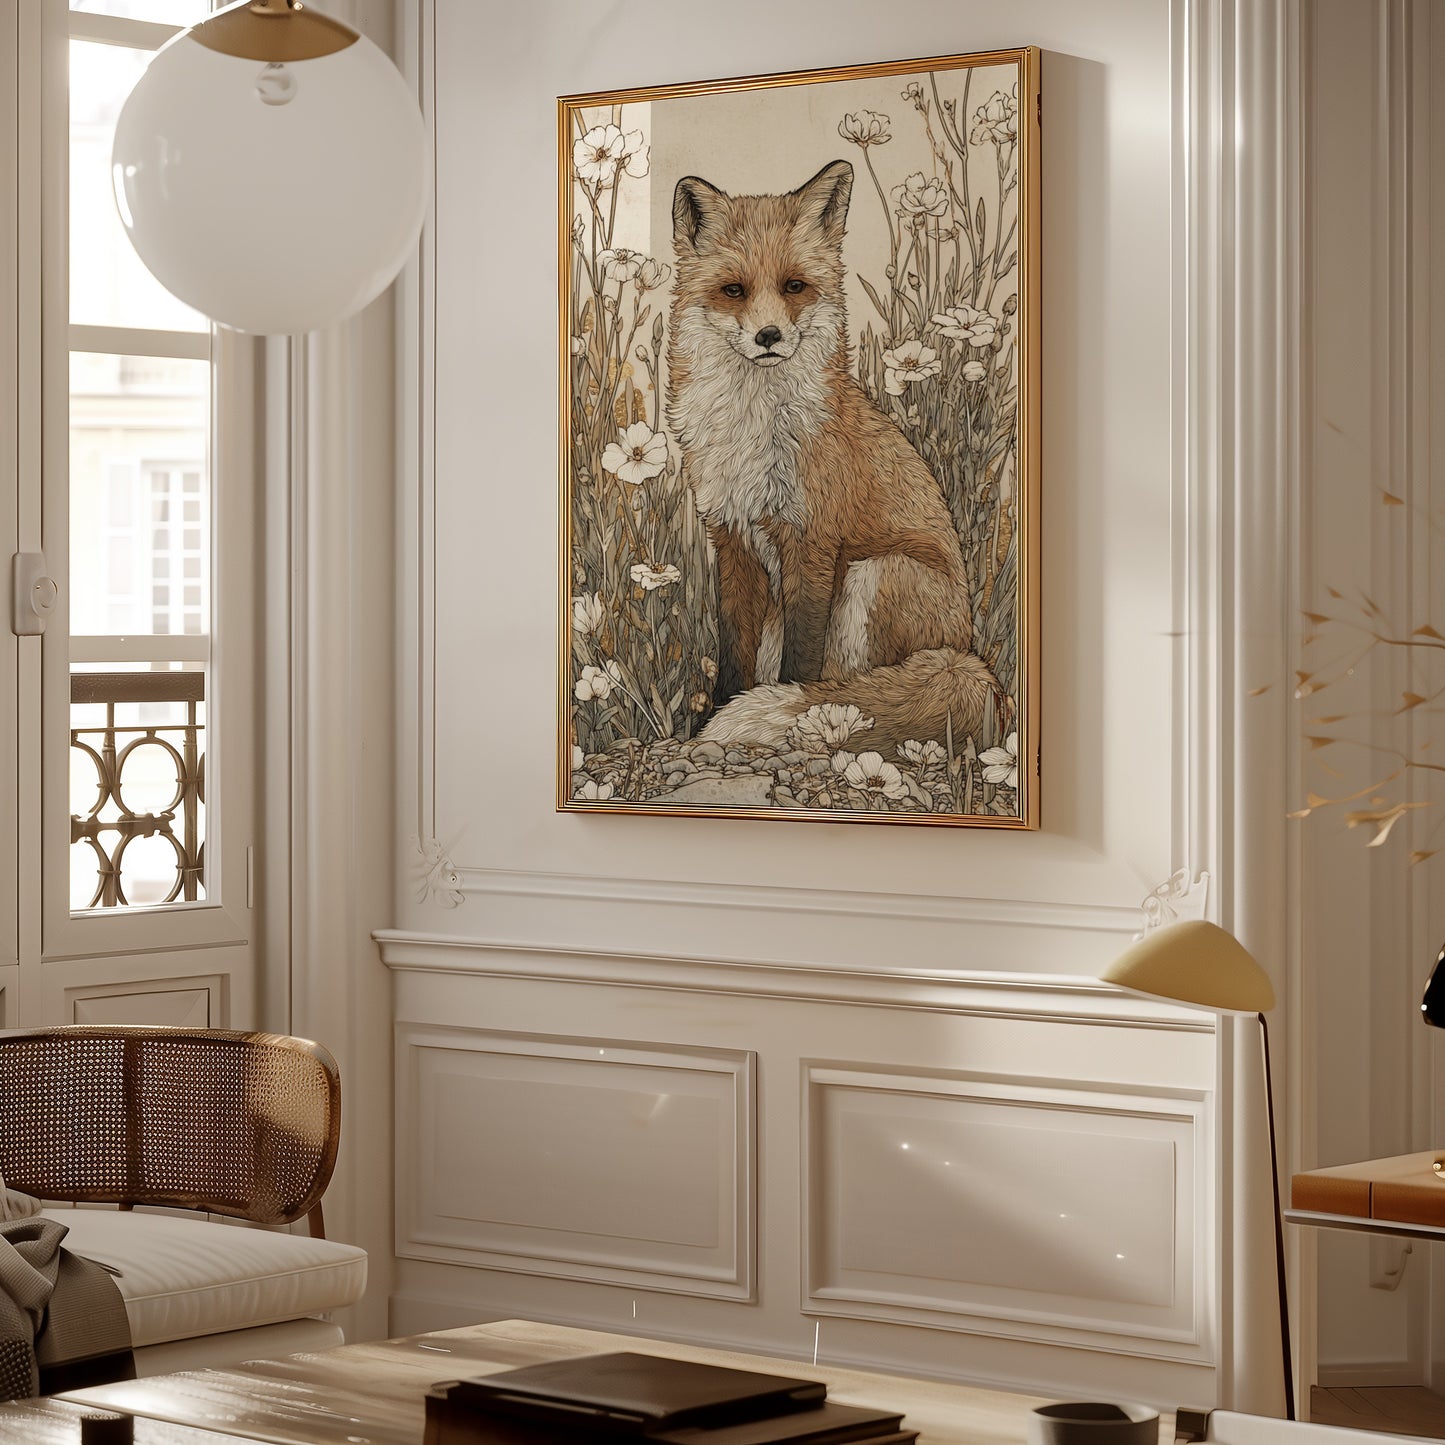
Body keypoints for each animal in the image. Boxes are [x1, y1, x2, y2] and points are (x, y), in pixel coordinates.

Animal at [666, 157, 1006, 759]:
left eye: (794, 286)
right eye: (734, 290)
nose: (769, 336)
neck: (755, 427)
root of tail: (966, 651)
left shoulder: (812, 538)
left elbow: (802, 659)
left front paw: (793, 714)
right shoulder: (731, 537)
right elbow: (733, 650)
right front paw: (715, 716)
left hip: (873, 572)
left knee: (856, 685)